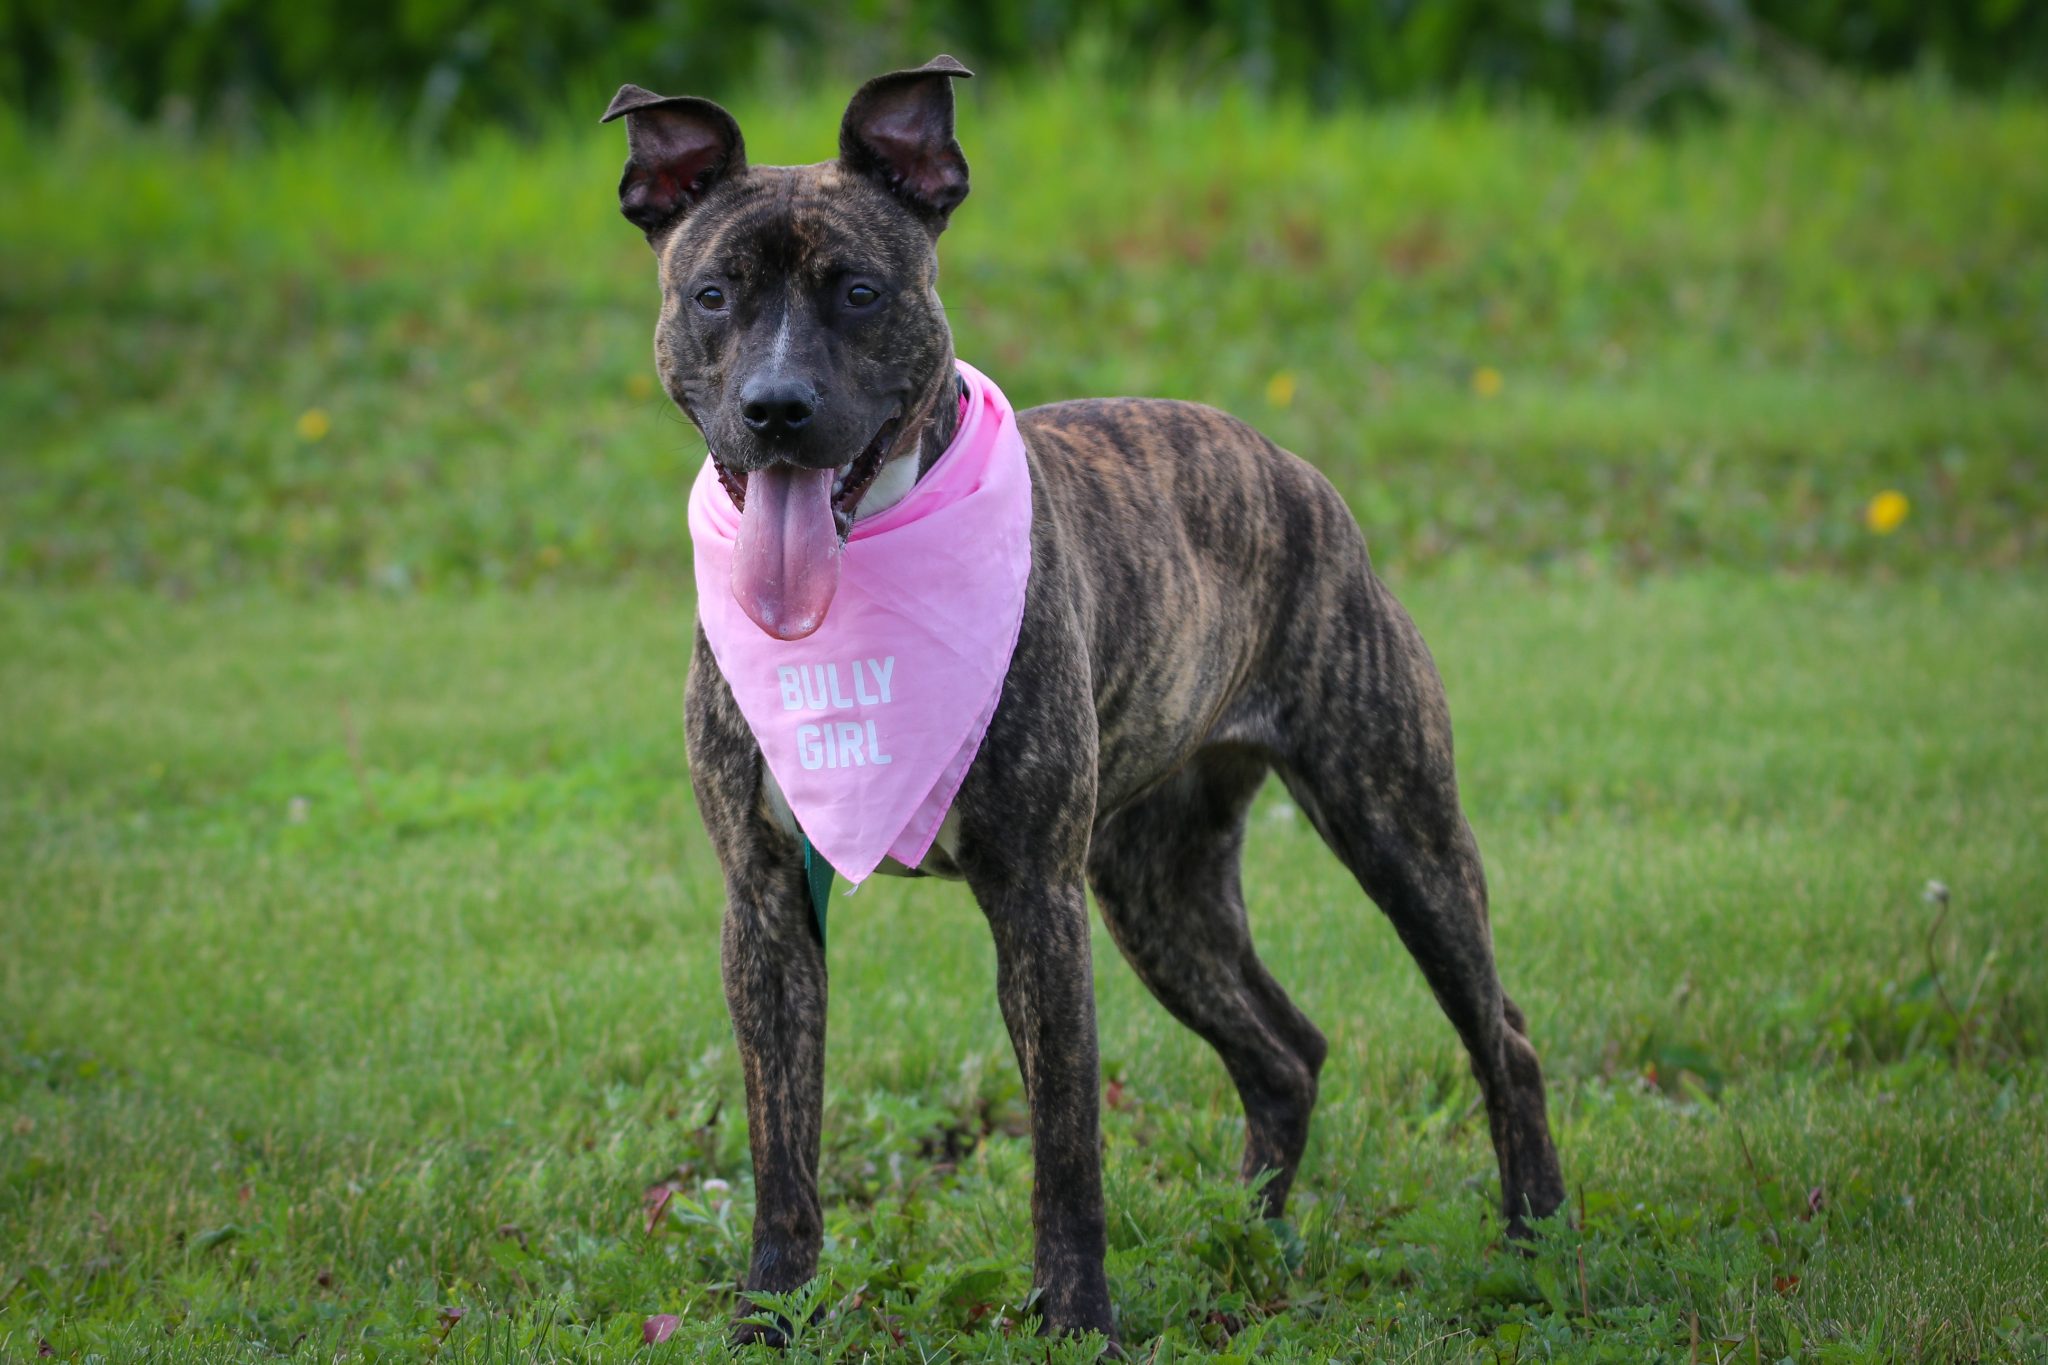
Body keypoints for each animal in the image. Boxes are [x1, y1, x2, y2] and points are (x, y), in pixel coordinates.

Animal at [602, 56, 1566, 1345]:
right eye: (711, 295)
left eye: (859, 291)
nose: (775, 405)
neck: (857, 576)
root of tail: (1289, 467)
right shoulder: (762, 905)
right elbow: (780, 1147)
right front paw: (771, 1317)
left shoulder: (1035, 901)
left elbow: (1065, 1145)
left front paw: (1076, 1322)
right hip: (1156, 887)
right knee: (1284, 1052)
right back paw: (1245, 1243)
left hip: (1393, 827)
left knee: (1499, 1035)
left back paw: (1534, 1243)